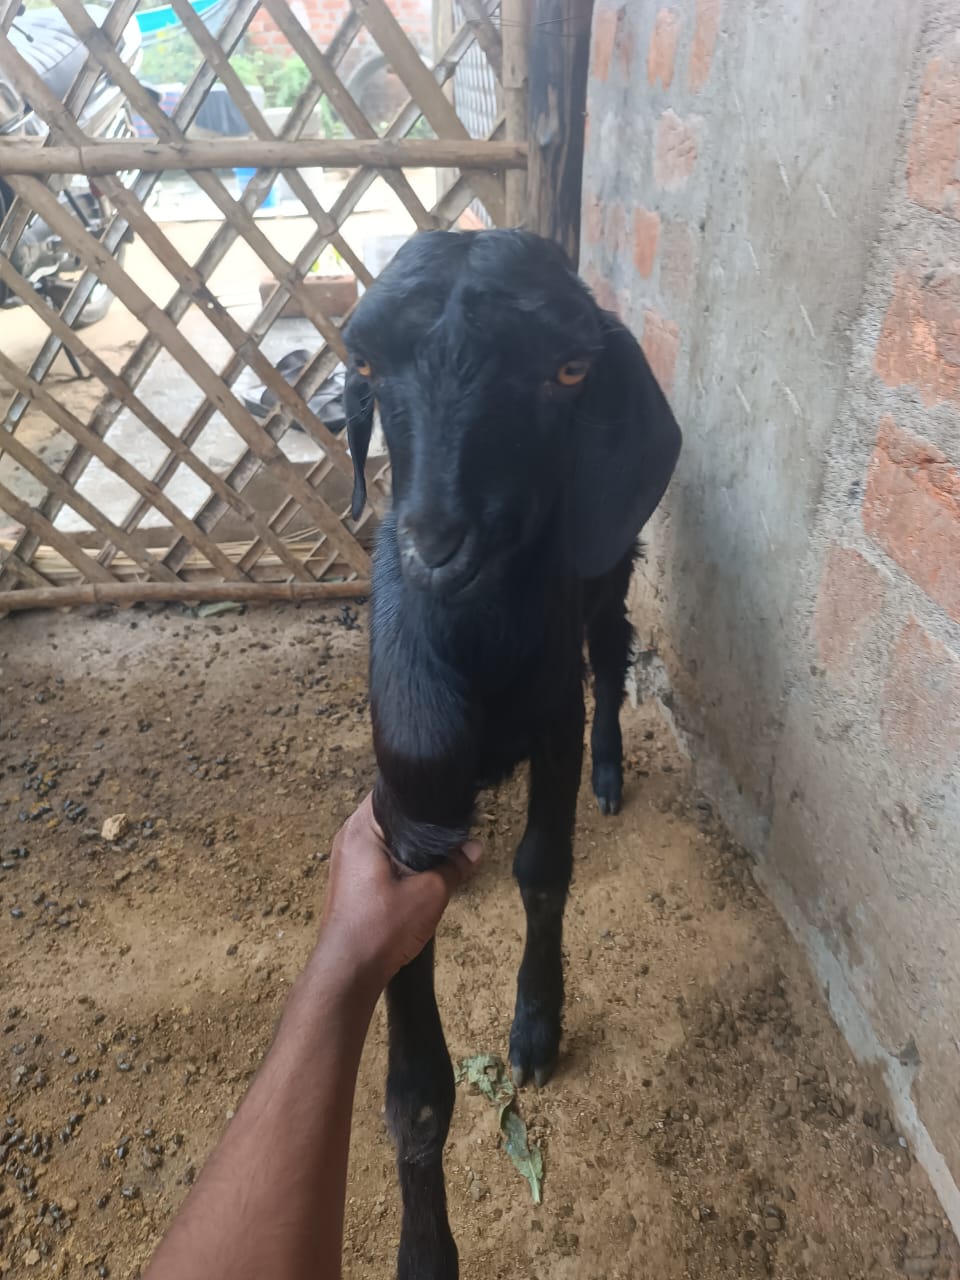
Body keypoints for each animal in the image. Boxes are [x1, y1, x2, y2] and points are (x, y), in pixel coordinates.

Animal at [343, 229, 681, 1280]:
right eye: (367, 365)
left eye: (568, 370)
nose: (435, 548)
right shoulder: (406, 807)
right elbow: (415, 1089)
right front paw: (424, 1251)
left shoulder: (552, 727)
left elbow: (544, 869)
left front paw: (536, 1027)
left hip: (608, 568)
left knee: (611, 653)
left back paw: (614, 775)